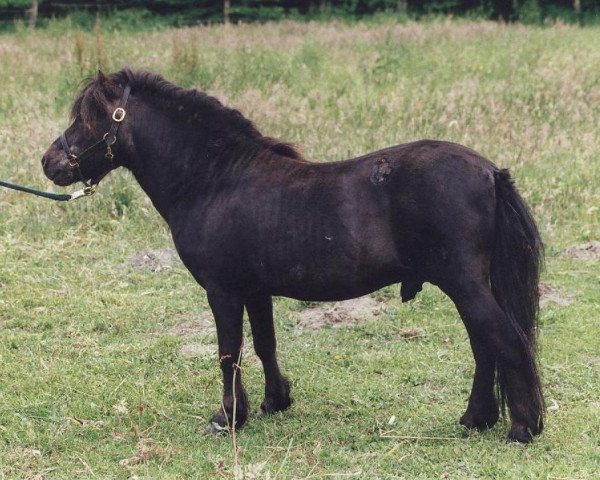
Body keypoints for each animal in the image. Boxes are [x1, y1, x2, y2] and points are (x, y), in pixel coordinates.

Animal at [42, 67, 544, 442]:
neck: (214, 179)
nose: (49, 162)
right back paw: (476, 419)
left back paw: (523, 427)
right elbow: (265, 343)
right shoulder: (255, 289)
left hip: (464, 284)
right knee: (485, 346)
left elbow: (228, 352)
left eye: (89, 118)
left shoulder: (223, 291)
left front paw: (228, 418)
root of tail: (489, 172)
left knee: (505, 340)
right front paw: (275, 401)